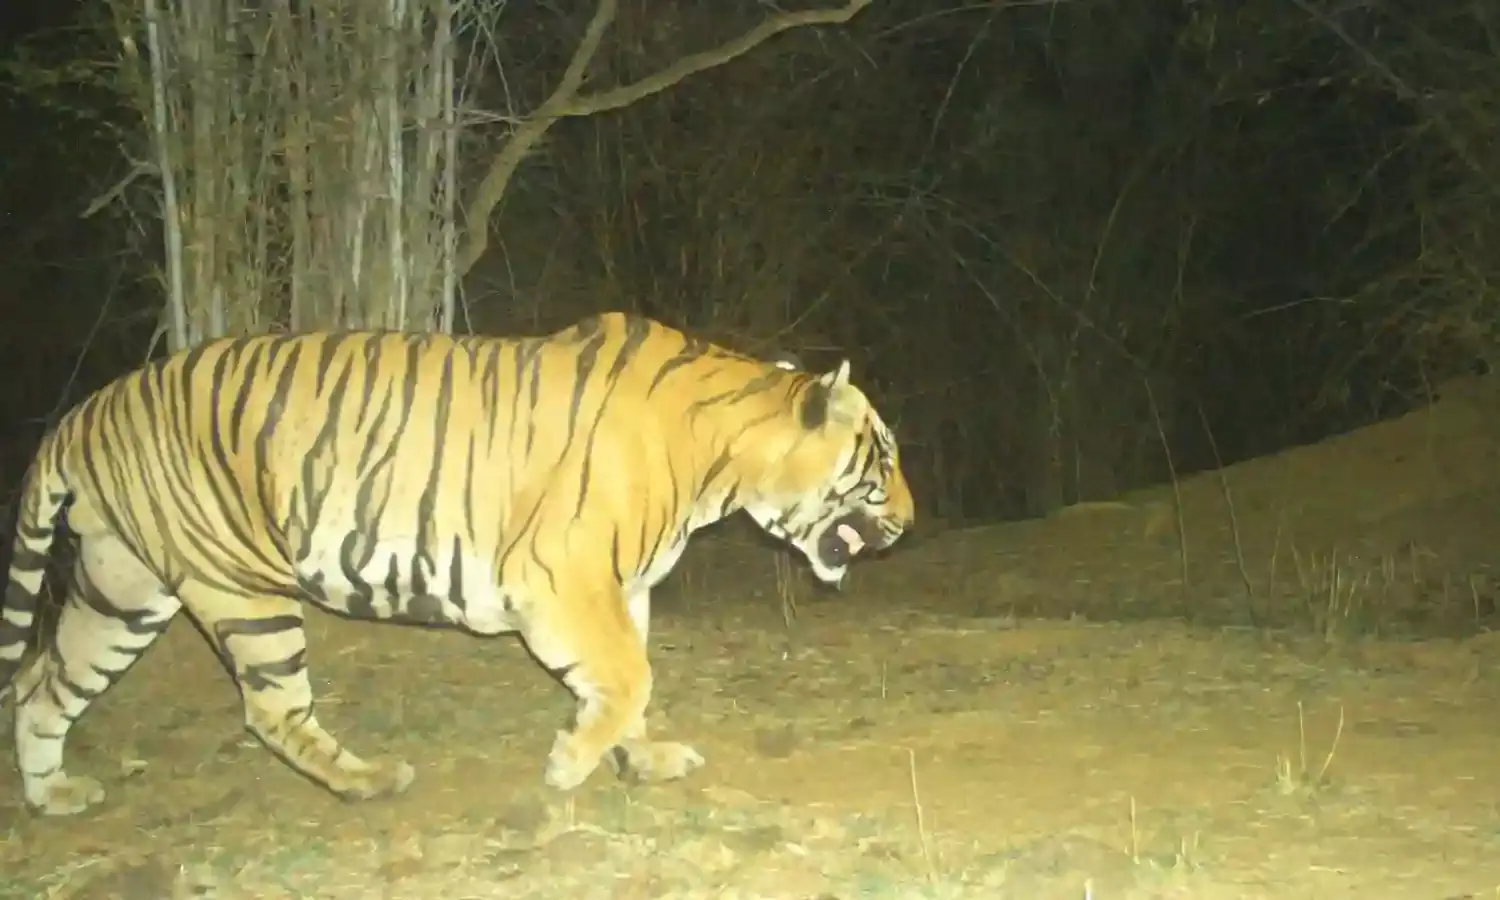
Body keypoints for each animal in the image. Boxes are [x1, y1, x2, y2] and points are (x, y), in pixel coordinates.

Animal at [0, 312, 913, 816]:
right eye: (884, 458)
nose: (910, 522)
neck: (722, 461)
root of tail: (83, 410)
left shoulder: (623, 586)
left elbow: (632, 682)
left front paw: (640, 760)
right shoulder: (559, 575)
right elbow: (630, 676)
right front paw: (570, 763)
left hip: (124, 590)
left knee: (43, 683)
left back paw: (50, 797)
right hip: (240, 584)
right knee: (270, 710)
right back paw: (370, 781)